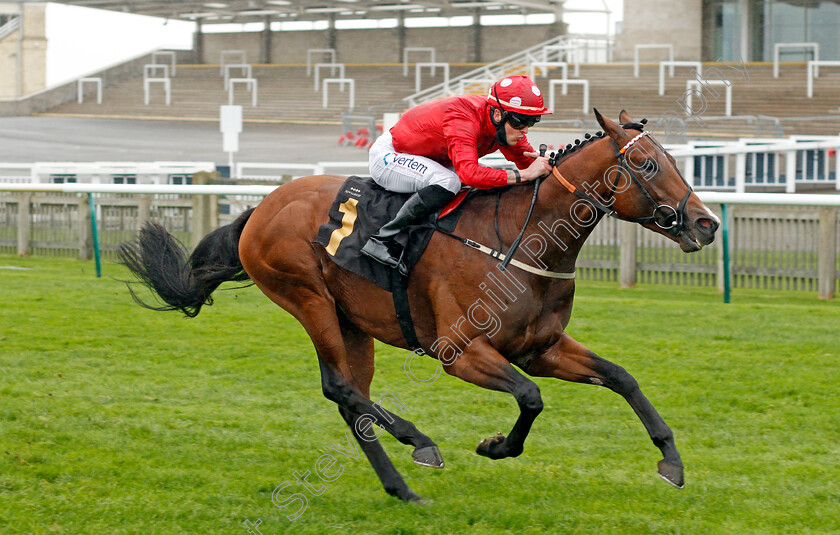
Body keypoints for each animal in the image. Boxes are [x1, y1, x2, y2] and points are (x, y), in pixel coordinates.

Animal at [118, 109, 720, 502]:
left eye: (674, 160)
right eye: (647, 166)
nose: (706, 223)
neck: (520, 239)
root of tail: (260, 208)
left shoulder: (541, 347)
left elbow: (621, 377)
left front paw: (670, 461)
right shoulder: (459, 350)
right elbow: (530, 397)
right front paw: (495, 446)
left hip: (350, 320)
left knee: (351, 397)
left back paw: (400, 486)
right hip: (307, 298)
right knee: (338, 388)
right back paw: (420, 443)